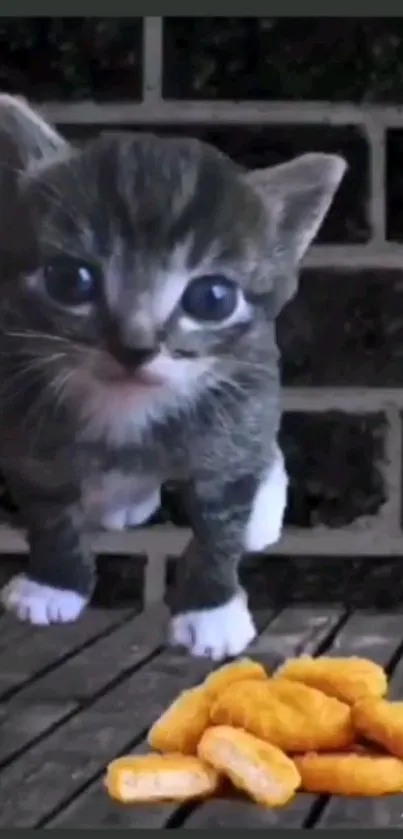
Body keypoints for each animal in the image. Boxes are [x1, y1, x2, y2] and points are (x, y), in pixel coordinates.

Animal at [0, 97, 348, 664]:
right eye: (69, 280)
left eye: (212, 298)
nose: (135, 347)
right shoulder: (22, 418)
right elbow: (50, 509)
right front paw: (54, 583)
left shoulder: (239, 407)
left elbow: (221, 515)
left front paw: (211, 609)